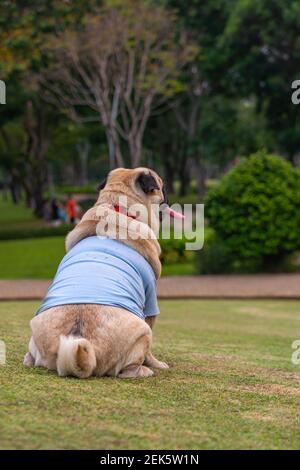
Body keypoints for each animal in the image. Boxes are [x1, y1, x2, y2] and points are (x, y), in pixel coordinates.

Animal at [23, 168, 183, 378]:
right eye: (162, 186)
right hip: (142, 331)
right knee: (128, 368)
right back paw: (143, 370)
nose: (168, 193)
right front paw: (157, 363)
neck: (119, 208)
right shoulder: (150, 298)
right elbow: (151, 339)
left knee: (30, 357)